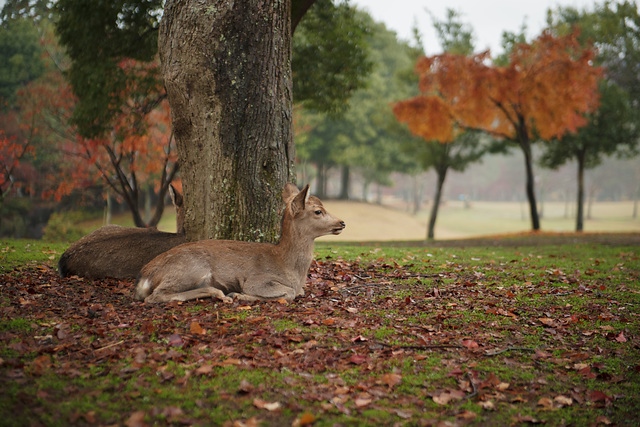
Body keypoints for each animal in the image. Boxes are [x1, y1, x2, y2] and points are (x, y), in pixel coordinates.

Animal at [134, 183, 345, 303]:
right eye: (318, 211)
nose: (341, 222)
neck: (290, 268)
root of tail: (145, 275)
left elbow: (297, 292)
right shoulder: (257, 280)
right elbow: (289, 293)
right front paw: (240, 295)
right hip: (190, 268)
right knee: (154, 296)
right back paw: (220, 293)